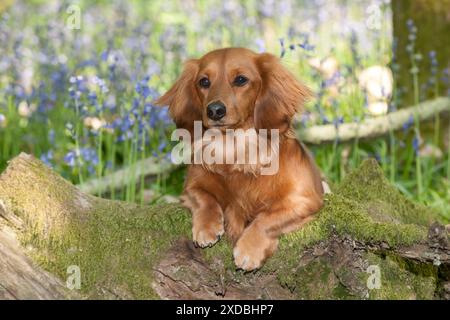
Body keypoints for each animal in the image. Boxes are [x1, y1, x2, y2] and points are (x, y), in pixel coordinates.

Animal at [155, 47, 324, 272]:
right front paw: (207, 227)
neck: (233, 148)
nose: (214, 110)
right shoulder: (190, 188)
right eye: (204, 81)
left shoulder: (304, 200)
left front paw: (249, 249)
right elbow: (204, 198)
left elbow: (267, 217)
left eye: (241, 79)